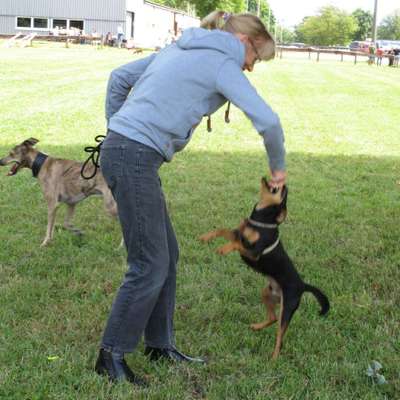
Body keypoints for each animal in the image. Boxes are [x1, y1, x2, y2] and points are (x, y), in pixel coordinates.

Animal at [199, 178, 328, 360]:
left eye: (284, 194)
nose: (284, 183)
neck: (261, 220)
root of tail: (303, 285)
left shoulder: (254, 253)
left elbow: (237, 244)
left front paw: (224, 249)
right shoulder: (238, 233)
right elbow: (223, 230)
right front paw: (206, 237)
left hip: (287, 308)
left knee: (280, 337)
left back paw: (273, 358)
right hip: (267, 293)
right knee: (272, 318)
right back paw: (257, 327)